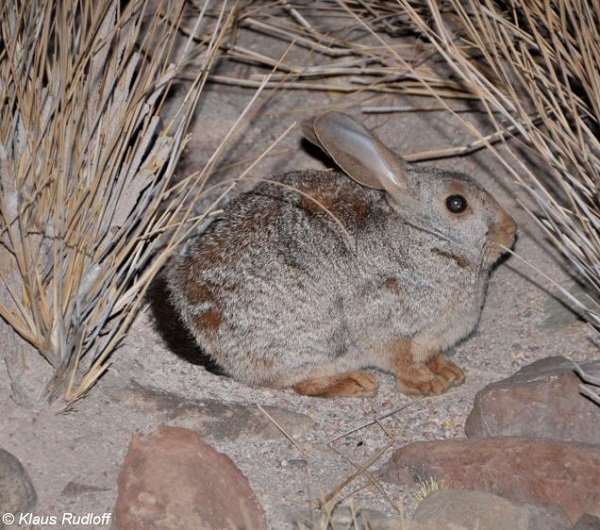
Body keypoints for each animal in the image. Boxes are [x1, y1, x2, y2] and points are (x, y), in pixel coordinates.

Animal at [166, 111, 516, 394]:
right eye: (457, 204)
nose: (511, 231)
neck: (422, 237)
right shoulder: (384, 321)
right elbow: (399, 358)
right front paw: (427, 384)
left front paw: (449, 371)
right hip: (312, 342)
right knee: (297, 382)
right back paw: (354, 383)